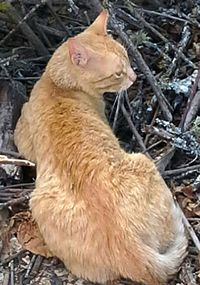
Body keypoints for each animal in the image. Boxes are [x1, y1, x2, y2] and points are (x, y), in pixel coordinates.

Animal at [14, 8, 188, 284]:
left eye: (128, 57)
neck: (58, 84)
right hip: (143, 161)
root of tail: (129, 246)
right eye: (117, 73)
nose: (134, 77)